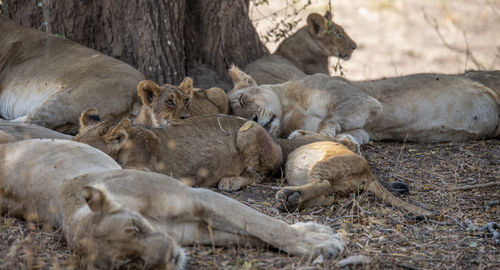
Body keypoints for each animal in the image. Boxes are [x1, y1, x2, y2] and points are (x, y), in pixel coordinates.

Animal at [0, 138, 344, 268]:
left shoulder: (198, 196)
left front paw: (318, 240)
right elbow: (253, 235)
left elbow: (266, 225)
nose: (170, 256)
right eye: (132, 264)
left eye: (136, 228)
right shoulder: (194, 231)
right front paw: (317, 238)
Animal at [274, 141, 434, 217]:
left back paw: (287, 195)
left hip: (324, 165)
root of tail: (369, 171)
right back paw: (290, 202)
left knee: (323, 184)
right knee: (328, 198)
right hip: (337, 185)